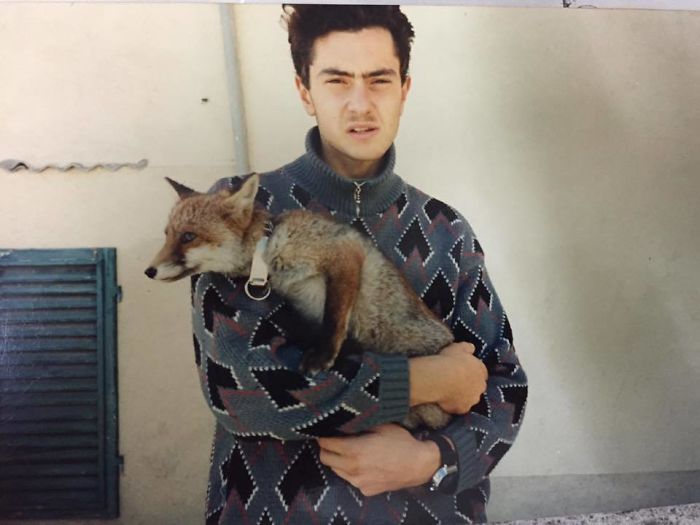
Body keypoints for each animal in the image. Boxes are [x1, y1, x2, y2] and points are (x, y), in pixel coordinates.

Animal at [145, 174, 455, 429]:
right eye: (167, 235)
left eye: (188, 236)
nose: (148, 271)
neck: (269, 251)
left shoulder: (345, 253)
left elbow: (334, 317)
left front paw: (322, 355)